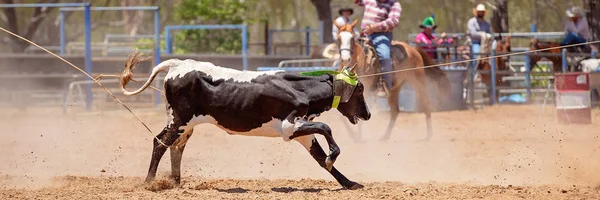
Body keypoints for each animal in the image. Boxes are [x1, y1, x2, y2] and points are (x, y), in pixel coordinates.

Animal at [118, 52, 370, 189]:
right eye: (359, 89)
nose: (367, 114)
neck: (299, 87)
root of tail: (179, 64)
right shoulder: (289, 127)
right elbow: (325, 128)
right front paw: (332, 156)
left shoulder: (302, 131)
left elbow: (319, 157)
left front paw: (349, 182)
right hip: (179, 120)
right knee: (159, 142)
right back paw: (150, 182)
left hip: (185, 125)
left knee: (176, 147)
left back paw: (176, 182)